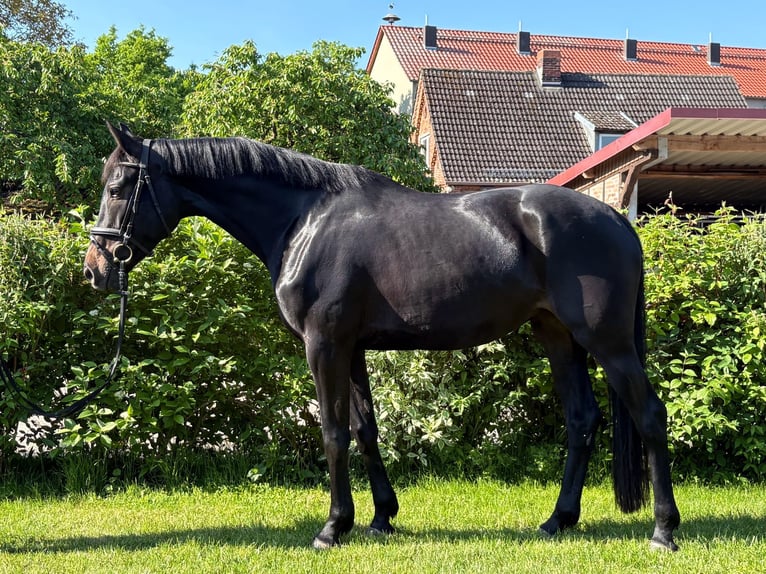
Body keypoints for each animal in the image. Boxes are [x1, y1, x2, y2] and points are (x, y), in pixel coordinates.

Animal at [84, 123, 680, 551]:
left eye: (117, 187)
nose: (95, 269)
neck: (305, 222)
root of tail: (616, 220)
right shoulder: (352, 349)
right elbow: (365, 430)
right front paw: (380, 518)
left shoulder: (324, 345)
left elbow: (332, 434)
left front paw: (332, 528)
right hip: (558, 336)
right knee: (582, 420)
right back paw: (558, 521)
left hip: (609, 343)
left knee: (650, 414)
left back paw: (663, 531)